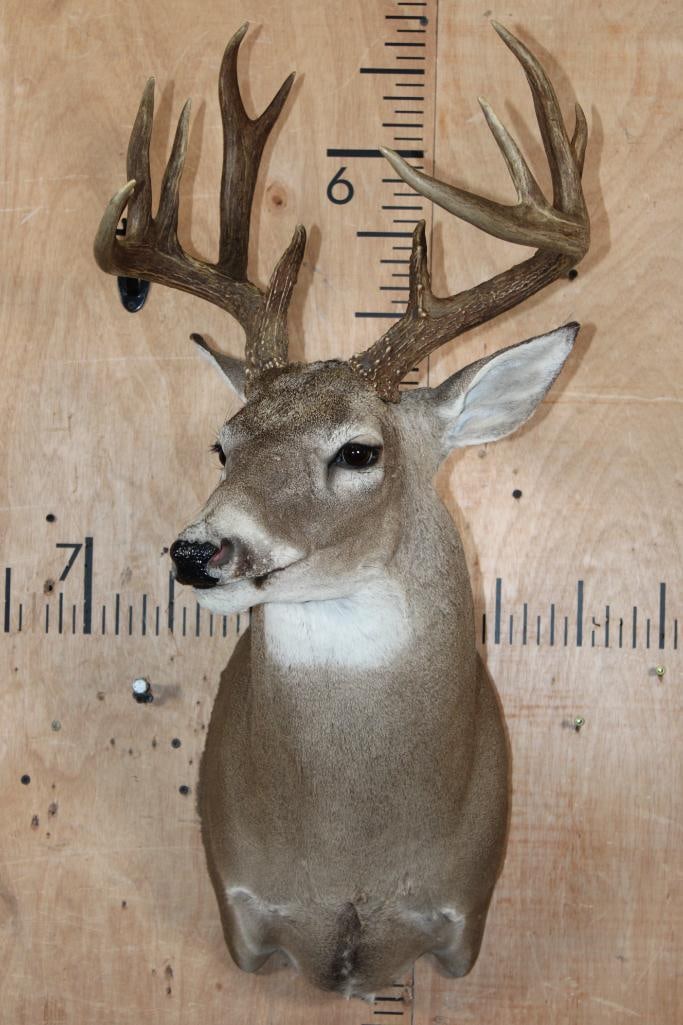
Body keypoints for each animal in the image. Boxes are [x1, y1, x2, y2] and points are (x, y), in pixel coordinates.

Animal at [94, 22, 589, 1001]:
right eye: (223, 444)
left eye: (359, 450)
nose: (196, 552)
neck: (351, 849)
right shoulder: (243, 911)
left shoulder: (459, 920)